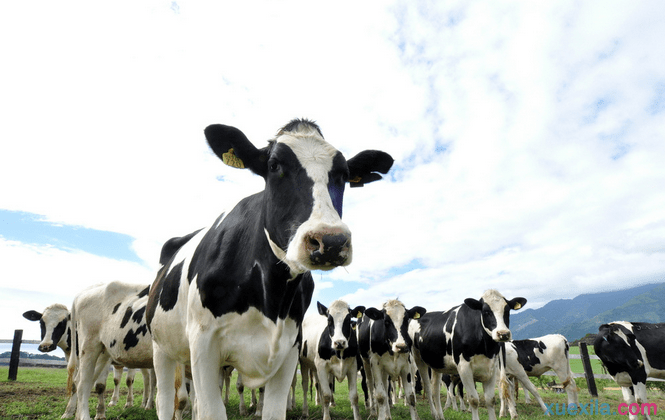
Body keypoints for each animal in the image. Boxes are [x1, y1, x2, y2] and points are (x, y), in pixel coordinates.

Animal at [145, 118, 392, 420]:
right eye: (274, 165)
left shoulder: (288, 351)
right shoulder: (203, 345)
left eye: (344, 174)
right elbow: (212, 410)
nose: (331, 241)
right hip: (161, 348)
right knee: (166, 399)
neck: (270, 296)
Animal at [408, 290, 528, 420]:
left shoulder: (492, 367)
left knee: (435, 389)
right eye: (486, 312)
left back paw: (440, 416)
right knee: (428, 388)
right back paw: (432, 414)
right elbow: (473, 399)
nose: (503, 334)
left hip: (437, 363)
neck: (485, 349)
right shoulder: (464, 367)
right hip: (418, 359)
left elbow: (490, 400)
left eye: (507, 310)